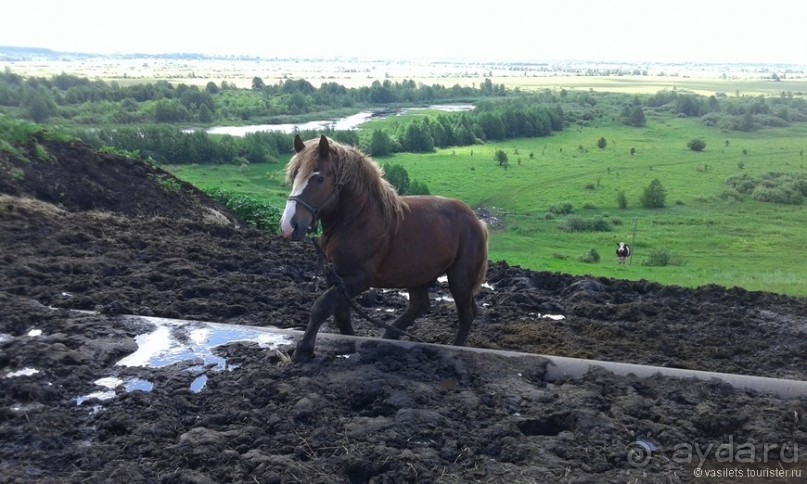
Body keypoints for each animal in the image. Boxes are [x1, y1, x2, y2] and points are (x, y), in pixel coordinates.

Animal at [280, 134, 490, 362]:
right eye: (294, 176)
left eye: (318, 178)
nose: (288, 226)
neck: (357, 221)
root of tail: (477, 221)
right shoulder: (336, 276)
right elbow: (340, 311)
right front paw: (348, 344)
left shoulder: (360, 279)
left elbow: (322, 306)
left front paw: (303, 350)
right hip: (416, 274)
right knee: (419, 305)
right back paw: (387, 339)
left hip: (459, 279)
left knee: (466, 313)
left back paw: (453, 351)